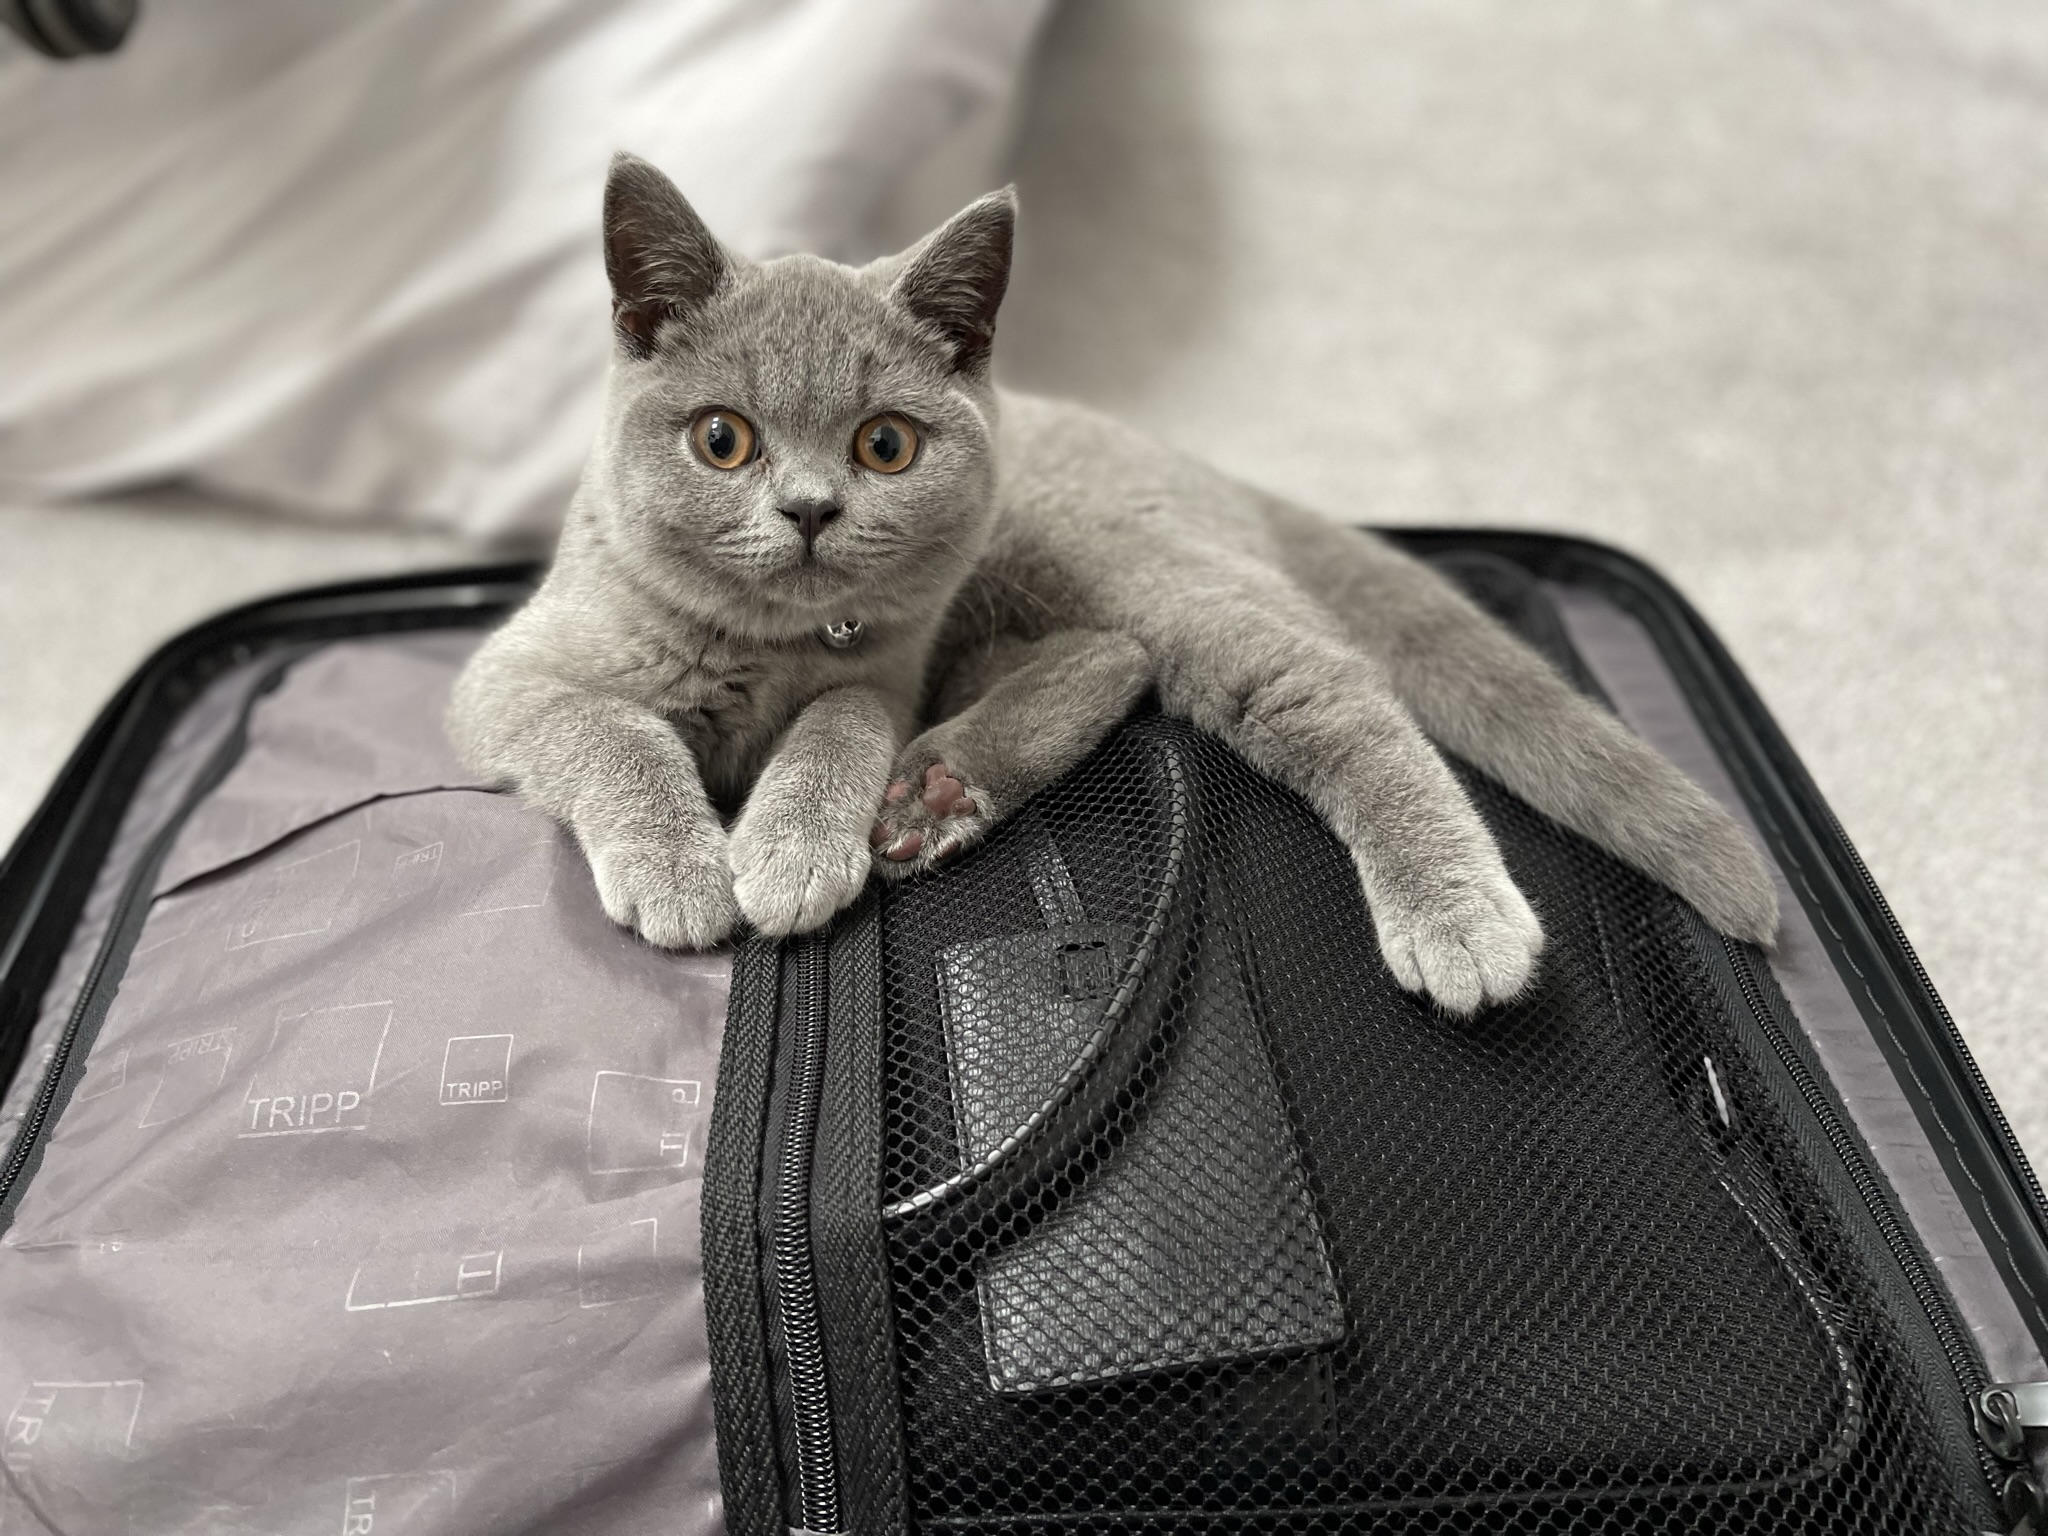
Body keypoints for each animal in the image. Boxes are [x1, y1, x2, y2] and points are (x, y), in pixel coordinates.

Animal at [447, 152, 1778, 1015]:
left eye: (884, 445)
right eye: (721, 440)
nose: (812, 509)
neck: (768, 647)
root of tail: (1201, 464)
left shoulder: (886, 671)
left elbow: (838, 722)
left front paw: (786, 848)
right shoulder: (503, 682)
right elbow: (615, 729)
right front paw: (684, 871)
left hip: (1127, 572)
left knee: (1314, 687)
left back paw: (1458, 921)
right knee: (1108, 659)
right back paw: (934, 794)